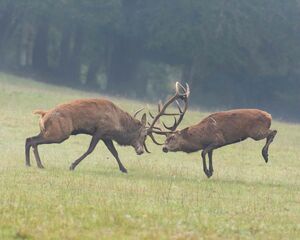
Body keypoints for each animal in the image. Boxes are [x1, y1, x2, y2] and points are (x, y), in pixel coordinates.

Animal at [25, 82, 190, 172]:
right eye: (143, 136)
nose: (141, 151)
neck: (119, 124)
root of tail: (43, 114)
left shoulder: (107, 136)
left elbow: (114, 152)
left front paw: (124, 169)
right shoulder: (101, 131)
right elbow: (90, 150)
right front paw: (72, 165)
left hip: (48, 130)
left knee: (30, 139)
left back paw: (34, 164)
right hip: (60, 133)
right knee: (32, 140)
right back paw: (33, 164)